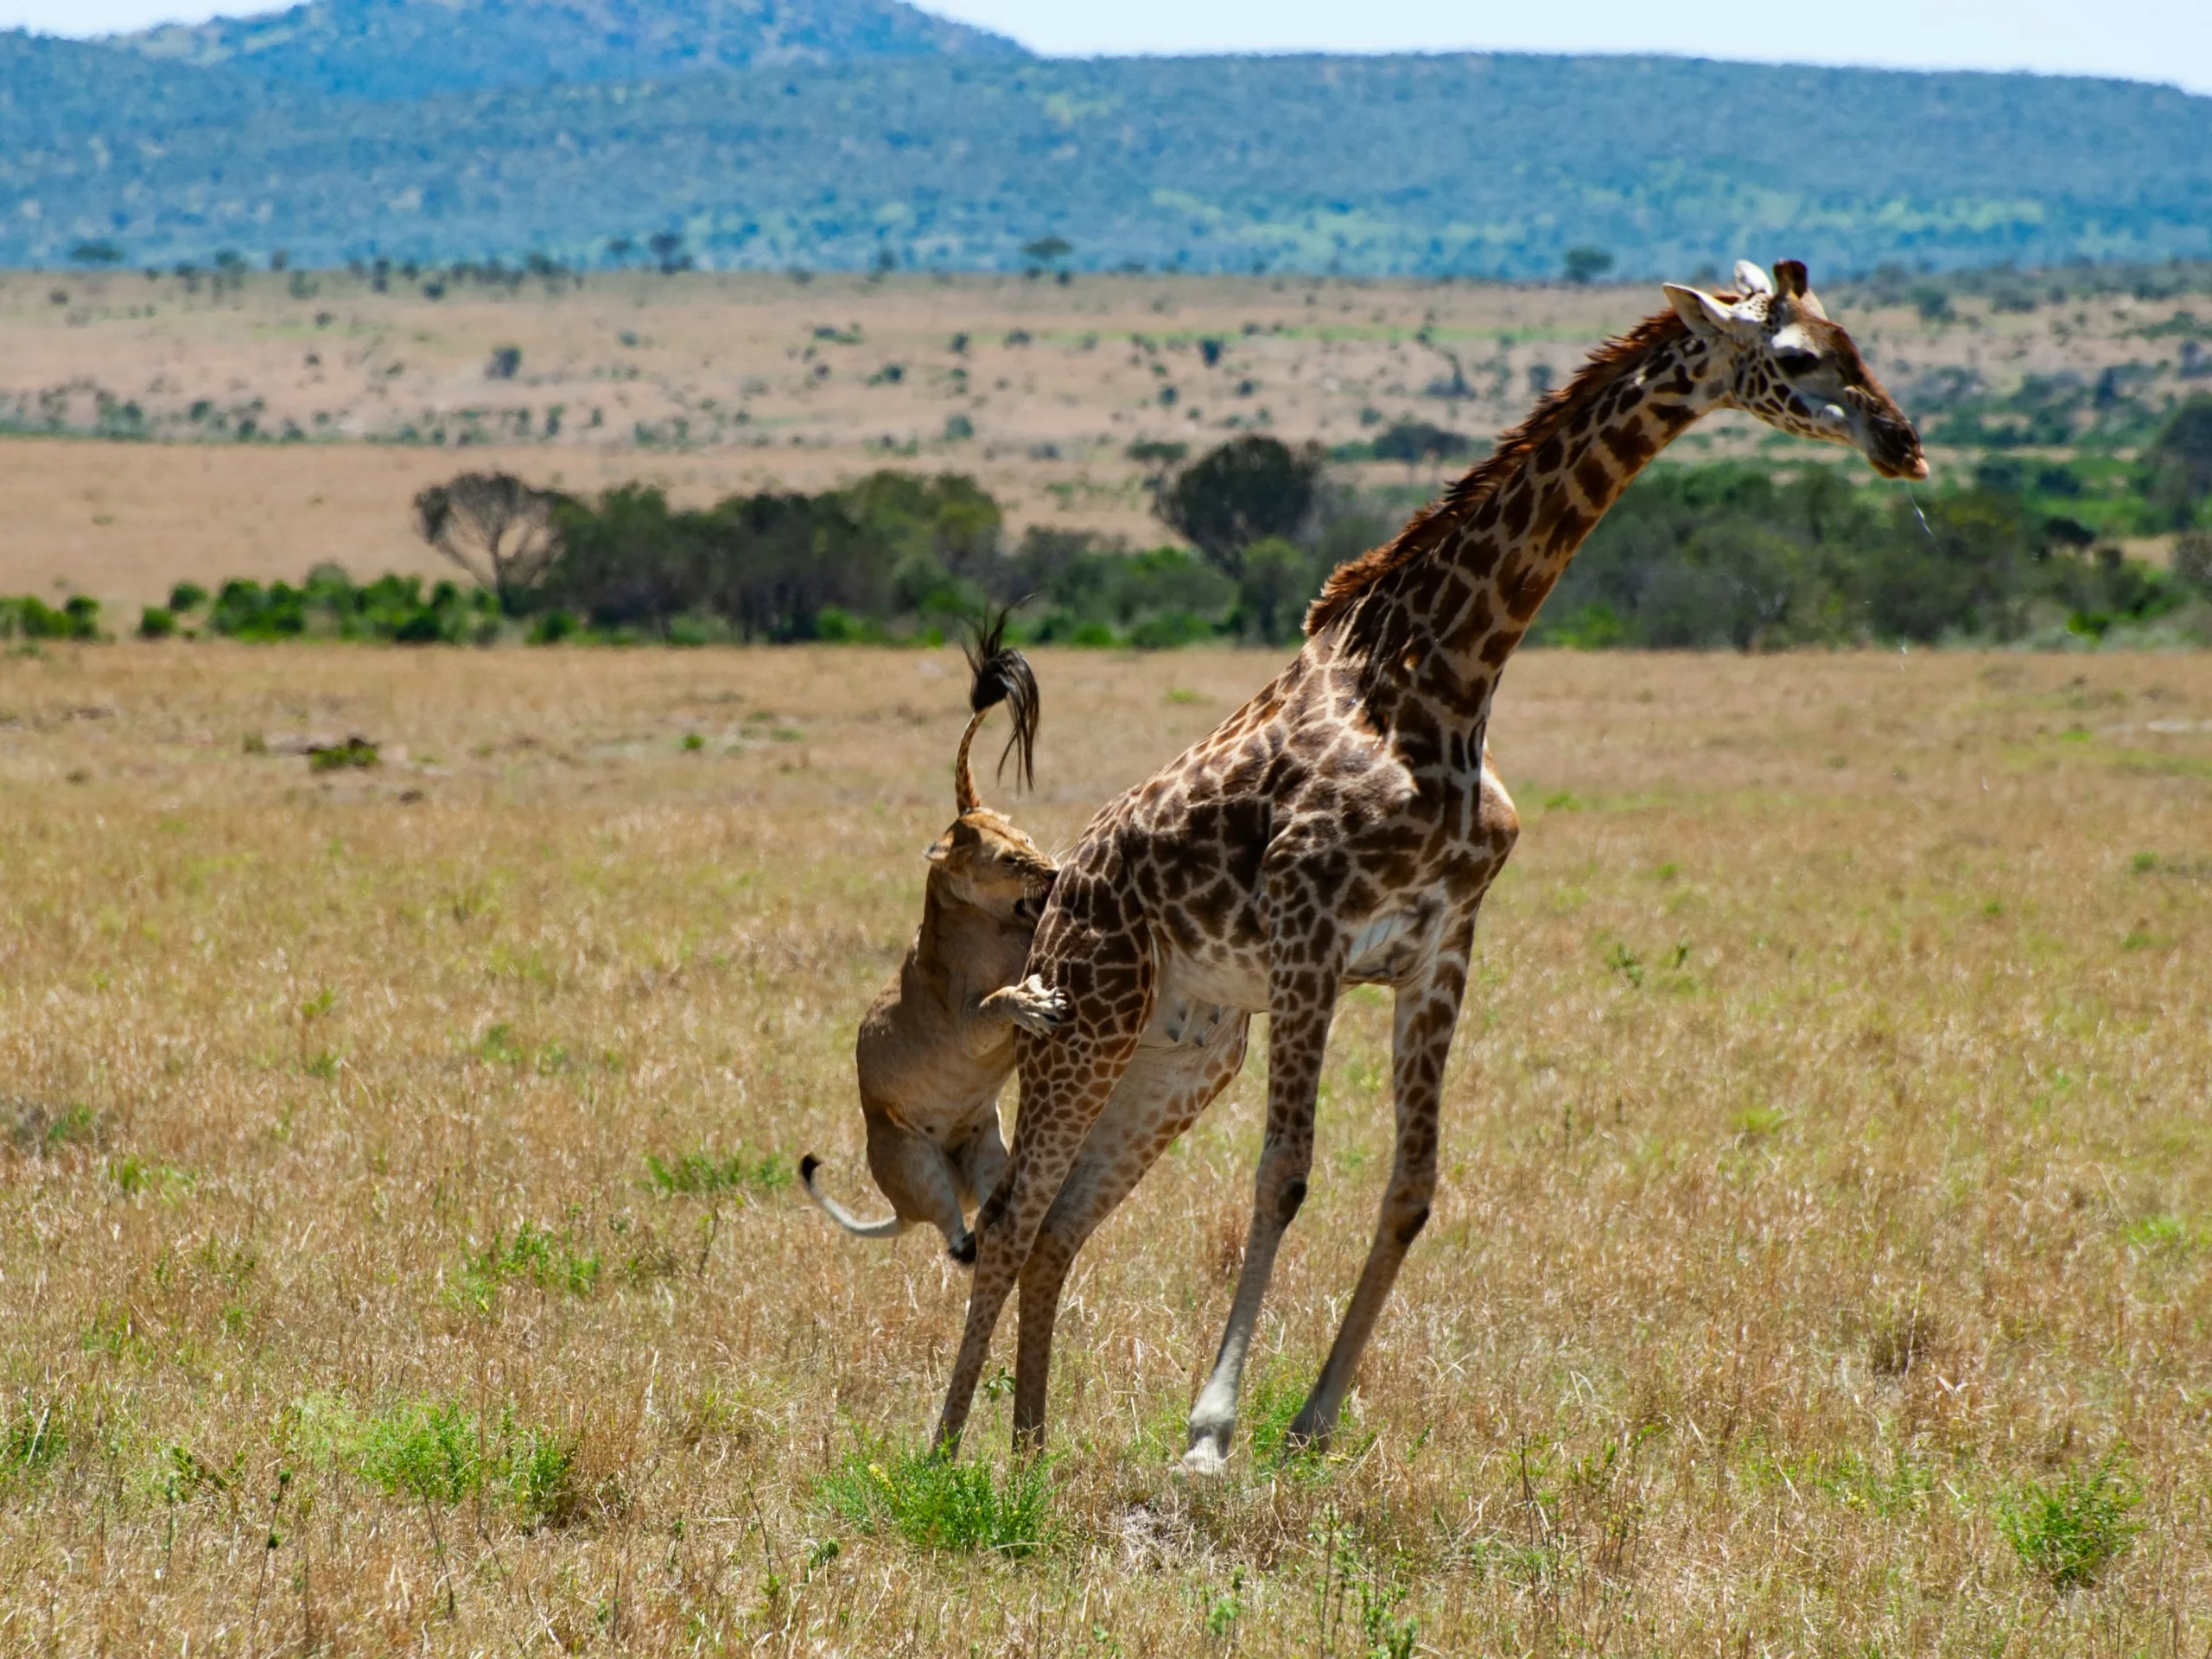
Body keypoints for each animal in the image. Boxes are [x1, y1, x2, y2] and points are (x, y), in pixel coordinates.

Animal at [942, 256, 1929, 1468]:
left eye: (1854, 341)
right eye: (1794, 357)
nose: (1901, 441)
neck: (1446, 683)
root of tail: (1058, 893)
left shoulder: (1440, 947)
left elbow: (1411, 1188)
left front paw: (1312, 1422)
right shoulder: (1310, 933)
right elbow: (1285, 1174)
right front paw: (1210, 1433)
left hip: (1187, 1045)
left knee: (1061, 1226)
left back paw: (1029, 1451)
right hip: (1088, 1014)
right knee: (1011, 1218)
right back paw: (944, 1451)